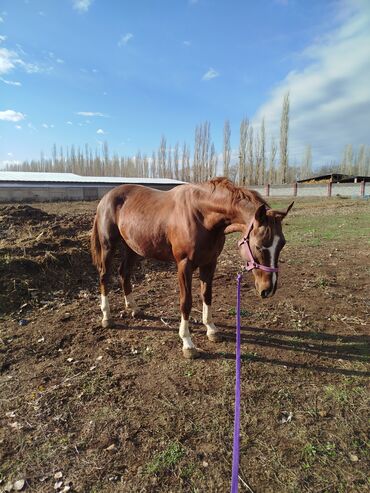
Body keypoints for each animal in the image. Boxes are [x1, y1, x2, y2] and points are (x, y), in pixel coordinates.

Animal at [91, 177, 294, 358]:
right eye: (259, 246)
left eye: (282, 244)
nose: (268, 289)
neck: (201, 216)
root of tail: (107, 197)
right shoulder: (184, 265)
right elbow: (186, 302)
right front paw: (187, 343)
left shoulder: (210, 263)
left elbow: (207, 295)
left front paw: (211, 329)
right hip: (108, 246)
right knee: (104, 276)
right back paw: (107, 317)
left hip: (132, 248)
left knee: (124, 273)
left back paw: (133, 308)